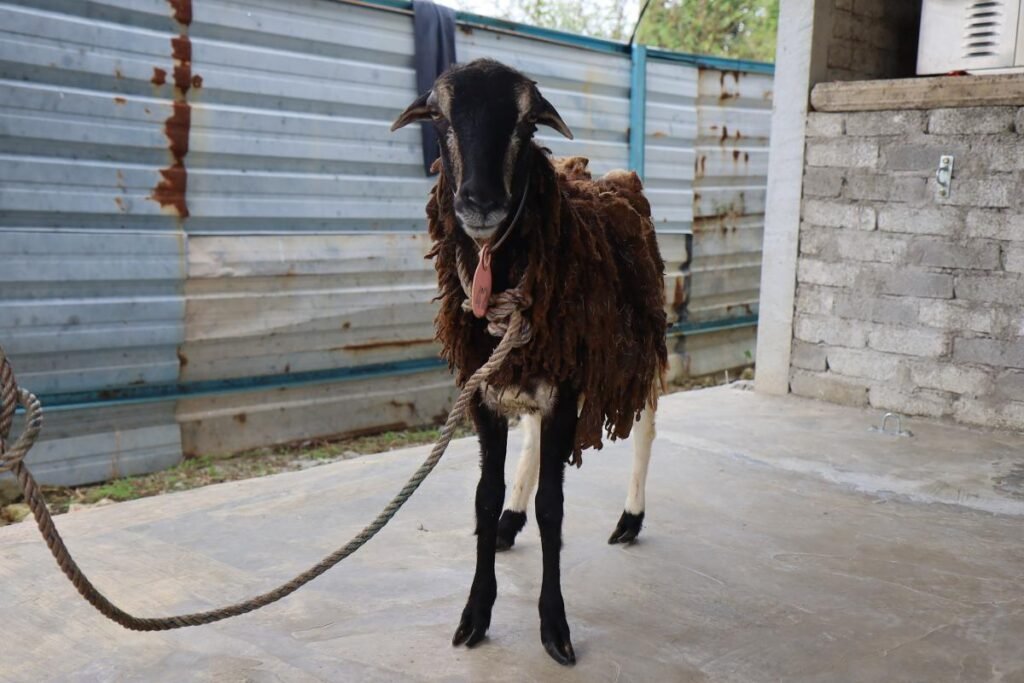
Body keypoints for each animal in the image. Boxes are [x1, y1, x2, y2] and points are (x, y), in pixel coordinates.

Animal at [391, 58, 667, 666]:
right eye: (440, 118)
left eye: (524, 124)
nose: (479, 202)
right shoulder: (483, 395)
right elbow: (484, 496)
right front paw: (475, 613)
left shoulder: (567, 389)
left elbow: (553, 507)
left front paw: (554, 627)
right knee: (535, 440)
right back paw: (509, 524)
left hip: (640, 346)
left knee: (645, 424)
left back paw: (631, 519)